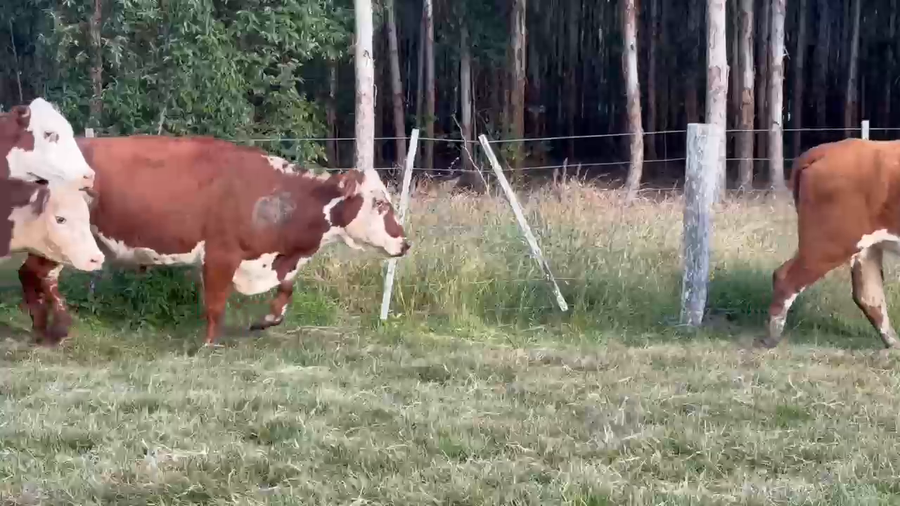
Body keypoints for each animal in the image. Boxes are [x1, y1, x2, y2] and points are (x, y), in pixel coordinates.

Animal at [18, 135, 410, 346]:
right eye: (380, 203)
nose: (405, 243)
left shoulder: (272, 259)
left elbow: (286, 291)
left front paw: (265, 321)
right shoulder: (221, 255)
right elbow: (215, 304)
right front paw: (208, 343)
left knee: (29, 273)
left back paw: (40, 328)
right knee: (40, 275)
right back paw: (59, 327)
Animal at [761, 138, 900, 351]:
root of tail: (827, 149)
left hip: (862, 247)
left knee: (868, 294)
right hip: (829, 244)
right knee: (785, 278)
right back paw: (772, 338)